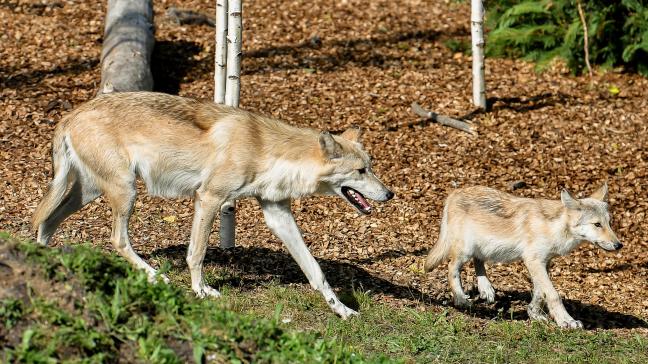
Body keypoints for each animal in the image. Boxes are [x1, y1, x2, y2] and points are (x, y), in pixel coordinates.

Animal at [33, 91, 394, 318]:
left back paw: (43, 262)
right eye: (361, 171)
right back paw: (155, 276)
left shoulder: (278, 214)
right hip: (125, 193)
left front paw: (343, 310)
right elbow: (197, 254)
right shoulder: (209, 199)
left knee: (47, 222)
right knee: (116, 239)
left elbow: (316, 271)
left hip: (91, 192)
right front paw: (201, 291)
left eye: (371, 166)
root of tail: (70, 114)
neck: (267, 151)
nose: (389, 194)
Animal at [426, 183, 624, 328]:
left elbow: (539, 293)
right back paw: (461, 299)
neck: (554, 227)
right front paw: (566, 321)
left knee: (478, 261)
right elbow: (553, 295)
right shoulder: (533, 261)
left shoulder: (544, 263)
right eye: (597, 224)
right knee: (451, 267)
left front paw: (534, 314)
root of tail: (454, 193)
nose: (619, 245)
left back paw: (486, 289)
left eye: (609, 223)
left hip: (483, 248)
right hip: (464, 252)